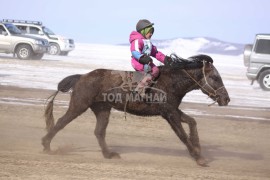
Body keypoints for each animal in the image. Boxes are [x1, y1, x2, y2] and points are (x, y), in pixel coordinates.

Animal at [41, 54, 230, 167]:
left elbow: (192, 122)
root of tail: (82, 77)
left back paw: (109, 154)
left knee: (99, 132)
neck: (171, 81)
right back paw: (46, 145)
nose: (226, 99)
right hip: (79, 105)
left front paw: (198, 147)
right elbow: (182, 135)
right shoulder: (169, 114)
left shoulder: (172, 111)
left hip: (102, 109)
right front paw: (198, 157)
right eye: (215, 77)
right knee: (61, 123)